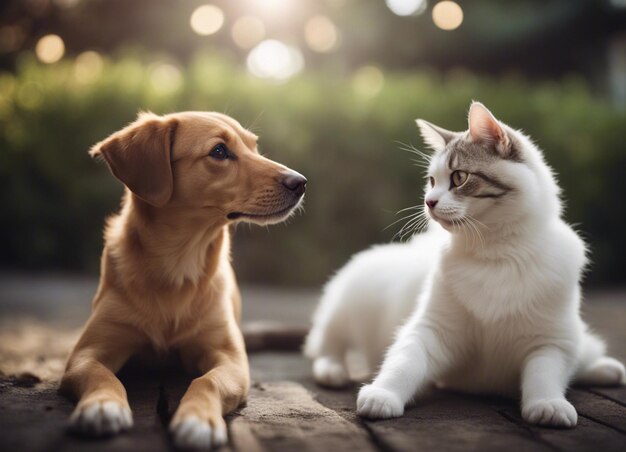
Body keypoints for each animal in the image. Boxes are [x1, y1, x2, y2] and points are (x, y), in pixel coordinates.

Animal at [61, 112, 308, 448]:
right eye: (219, 151)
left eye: (254, 147)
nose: (300, 182)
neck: (177, 266)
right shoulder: (85, 354)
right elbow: (100, 374)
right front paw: (101, 405)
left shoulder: (230, 359)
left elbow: (207, 381)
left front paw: (198, 419)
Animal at [304, 100, 624, 428]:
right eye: (432, 181)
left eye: (458, 178)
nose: (429, 201)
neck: (495, 254)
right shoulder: (430, 330)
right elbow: (404, 363)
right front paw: (383, 394)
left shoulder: (551, 341)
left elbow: (544, 375)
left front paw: (549, 404)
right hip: (346, 304)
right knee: (326, 344)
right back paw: (333, 371)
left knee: (585, 353)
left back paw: (604, 369)